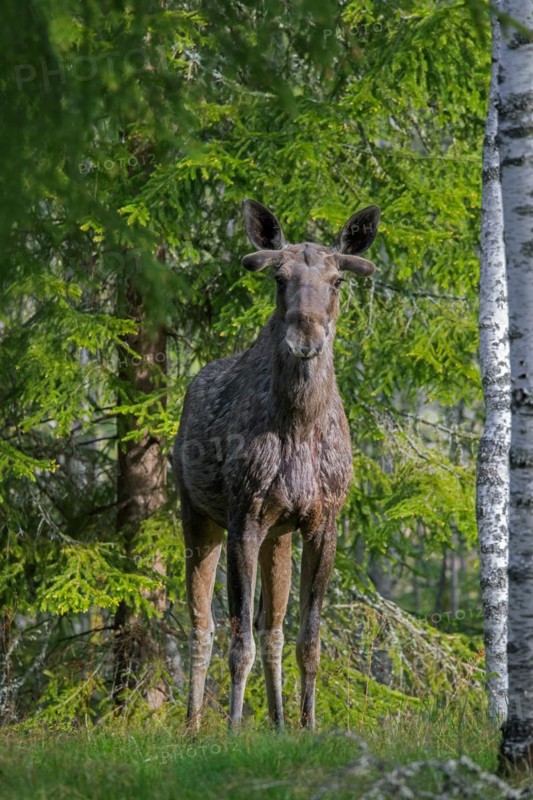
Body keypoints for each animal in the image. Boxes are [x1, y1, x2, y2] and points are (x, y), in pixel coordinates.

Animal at [173, 199, 381, 731]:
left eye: (337, 280)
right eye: (279, 278)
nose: (305, 337)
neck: (299, 426)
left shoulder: (323, 522)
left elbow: (307, 640)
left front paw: (307, 724)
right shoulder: (242, 516)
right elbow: (238, 641)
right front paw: (231, 728)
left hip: (279, 534)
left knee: (274, 628)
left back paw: (279, 721)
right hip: (197, 516)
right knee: (202, 625)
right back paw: (193, 725)